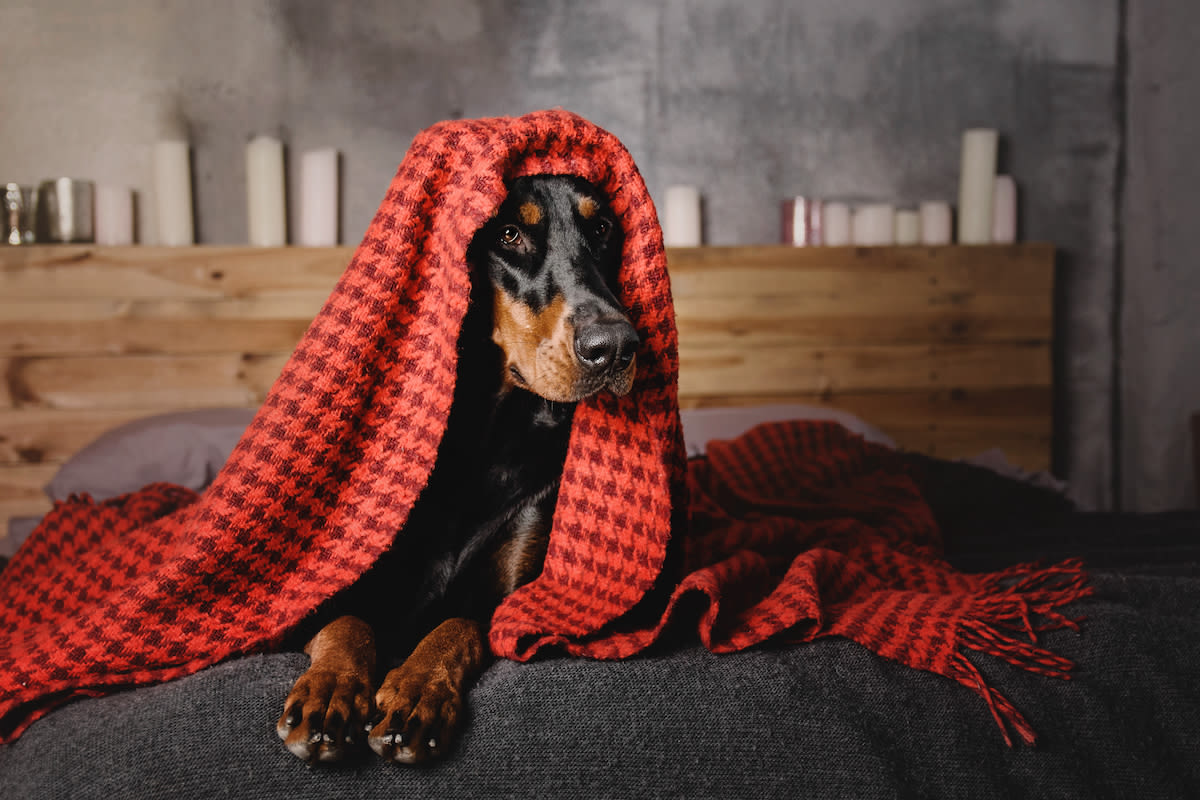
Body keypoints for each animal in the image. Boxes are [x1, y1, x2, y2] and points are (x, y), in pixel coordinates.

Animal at [278, 173, 638, 762]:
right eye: (509, 233)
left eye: (603, 227)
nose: (615, 346)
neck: (484, 435)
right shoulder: (323, 583)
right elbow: (349, 621)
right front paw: (331, 690)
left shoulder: (515, 600)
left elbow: (460, 625)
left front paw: (417, 688)